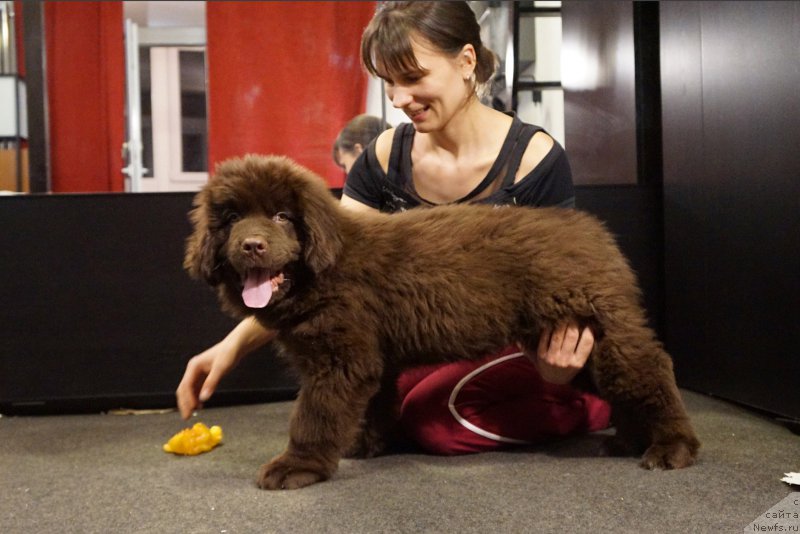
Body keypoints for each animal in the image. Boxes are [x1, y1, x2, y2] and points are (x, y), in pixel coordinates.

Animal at [184, 154, 696, 490]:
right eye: (232, 217)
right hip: (573, 340)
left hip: (601, 330)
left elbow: (315, 413)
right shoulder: (375, 359)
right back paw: (628, 440)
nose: (251, 245)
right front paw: (366, 444)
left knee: (651, 371)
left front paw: (297, 466)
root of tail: (595, 233)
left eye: (281, 217)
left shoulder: (341, 359)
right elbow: (372, 404)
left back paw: (672, 448)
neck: (324, 268)